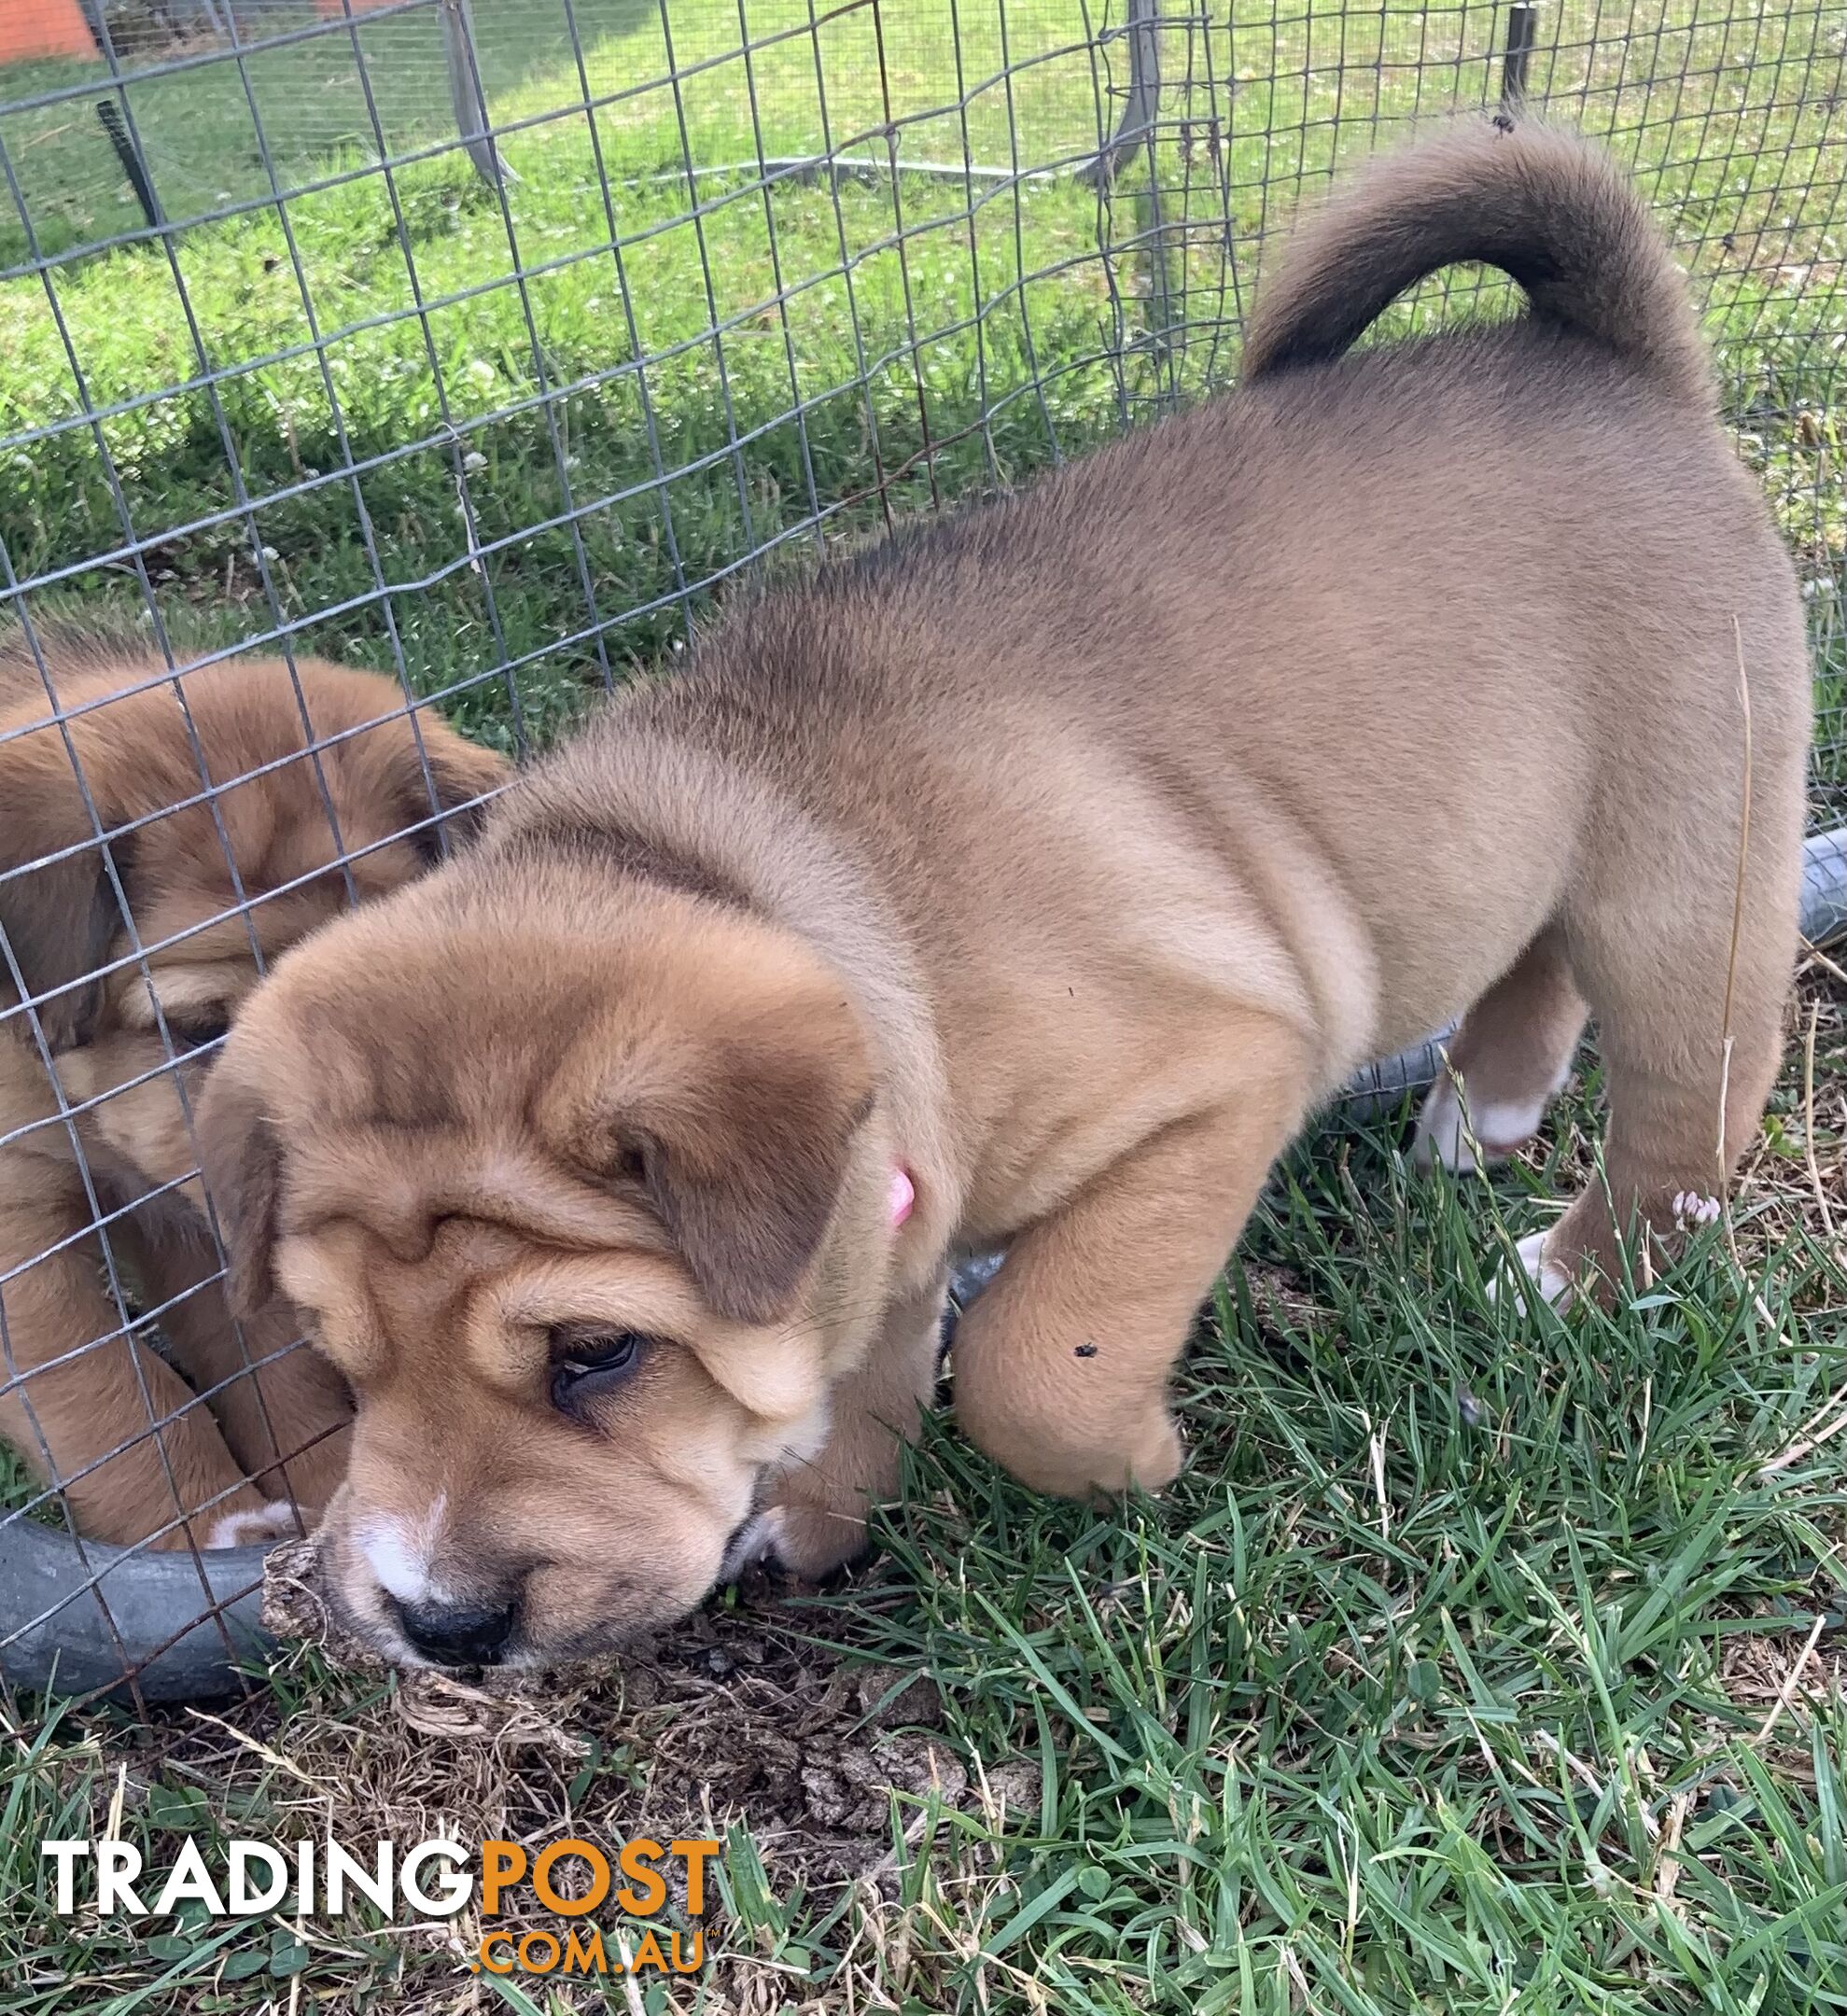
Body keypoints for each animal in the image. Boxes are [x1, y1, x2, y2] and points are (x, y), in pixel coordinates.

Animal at [1, 637, 504, 1547]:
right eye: (202, 1029)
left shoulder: (197, 1221)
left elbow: (270, 1370)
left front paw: (326, 1490)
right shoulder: (24, 1238)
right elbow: (119, 1409)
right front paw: (202, 1529)